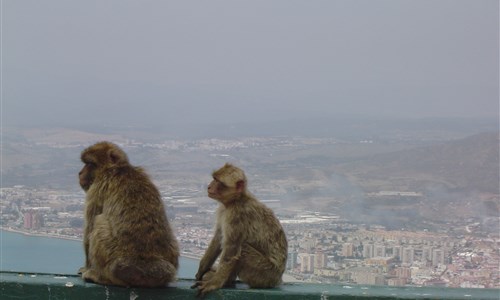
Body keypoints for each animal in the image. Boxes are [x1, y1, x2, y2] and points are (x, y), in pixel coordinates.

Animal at [78, 142, 180, 288]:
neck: (119, 169)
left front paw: (86, 268)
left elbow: (89, 230)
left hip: (119, 264)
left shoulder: (97, 188)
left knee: (99, 222)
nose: (80, 173)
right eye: (86, 163)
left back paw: (101, 277)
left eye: (90, 164)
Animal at [191, 164, 288, 298]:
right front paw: (201, 270)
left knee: (243, 250)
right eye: (214, 178)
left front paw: (214, 283)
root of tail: (278, 279)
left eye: (218, 181)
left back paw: (225, 281)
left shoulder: (237, 215)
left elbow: (230, 252)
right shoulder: (223, 211)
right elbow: (218, 239)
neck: (235, 200)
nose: (209, 186)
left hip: (265, 273)